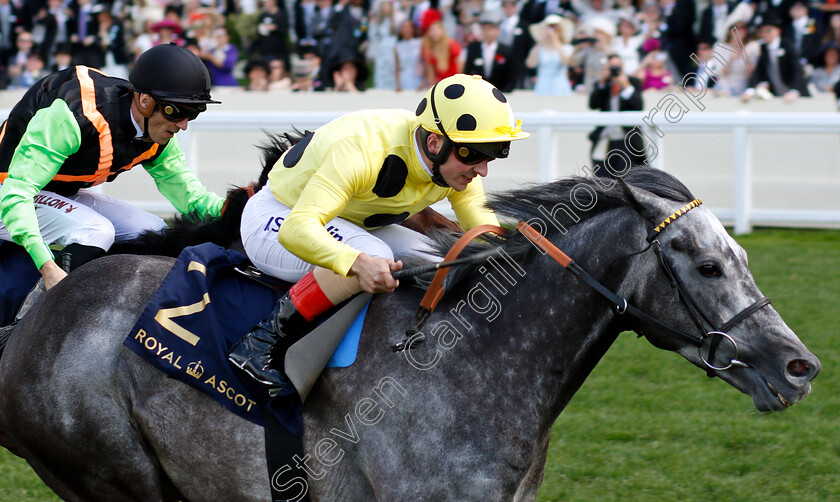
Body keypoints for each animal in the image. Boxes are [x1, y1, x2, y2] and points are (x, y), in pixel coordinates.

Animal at [0, 167, 820, 500]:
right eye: (709, 266)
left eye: (743, 258)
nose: (800, 366)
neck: (470, 362)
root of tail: (40, 311)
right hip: (109, 474)